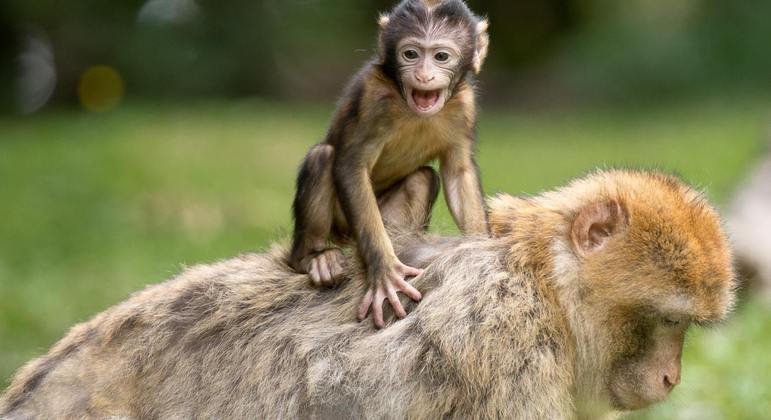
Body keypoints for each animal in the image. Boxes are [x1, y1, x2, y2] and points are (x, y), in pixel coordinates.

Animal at [290, 0, 488, 328]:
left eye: (441, 56)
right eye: (411, 54)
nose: (423, 76)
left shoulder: (465, 106)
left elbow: (458, 173)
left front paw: (479, 252)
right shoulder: (373, 98)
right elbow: (351, 166)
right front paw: (384, 272)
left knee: (422, 178)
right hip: (342, 225)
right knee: (323, 157)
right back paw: (313, 258)